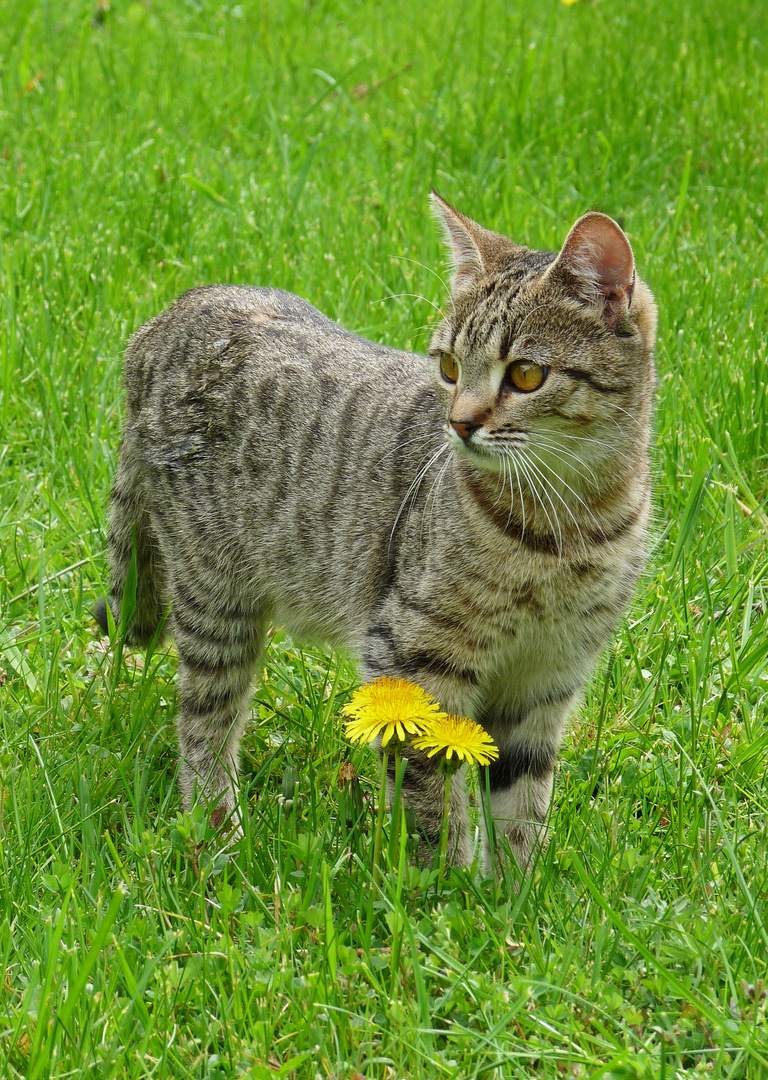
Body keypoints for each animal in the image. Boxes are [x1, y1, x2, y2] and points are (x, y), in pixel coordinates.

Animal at [96, 192, 656, 868]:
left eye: (525, 374)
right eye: (448, 367)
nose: (459, 422)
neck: (568, 524)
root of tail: (165, 319)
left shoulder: (545, 680)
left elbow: (522, 814)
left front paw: (512, 893)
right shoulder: (413, 657)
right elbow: (434, 808)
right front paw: (443, 888)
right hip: (215, 599)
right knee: (204, 729)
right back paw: (220, 836)